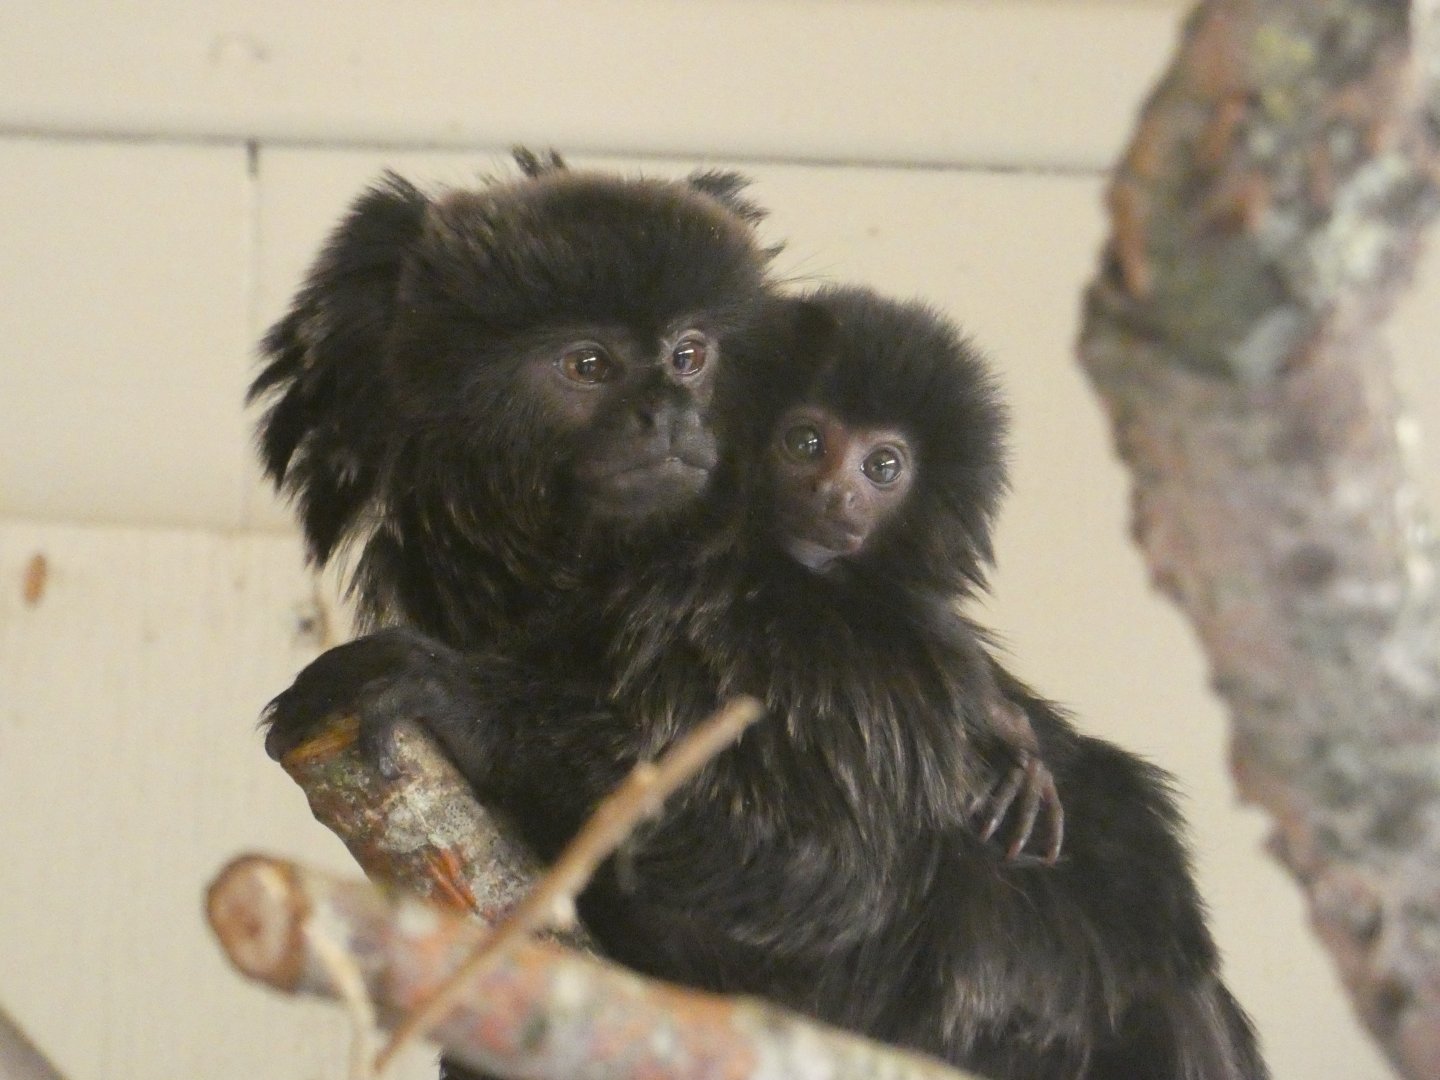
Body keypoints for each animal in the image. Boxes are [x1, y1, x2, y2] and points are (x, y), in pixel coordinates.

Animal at [263, 284, 1265, 1078]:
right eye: (804, 442)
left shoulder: (812, 649)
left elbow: (823, 873)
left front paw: (467, 708)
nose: (835, 494)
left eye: (882, 465)